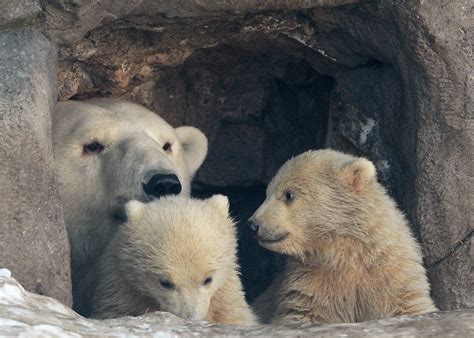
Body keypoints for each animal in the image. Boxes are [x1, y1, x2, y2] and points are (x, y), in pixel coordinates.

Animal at [248, 150, 436, 324]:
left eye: (289, 194)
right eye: (267, 192)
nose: (253, 224)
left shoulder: (392, 275)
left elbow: (409, 305)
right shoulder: (310, 283)